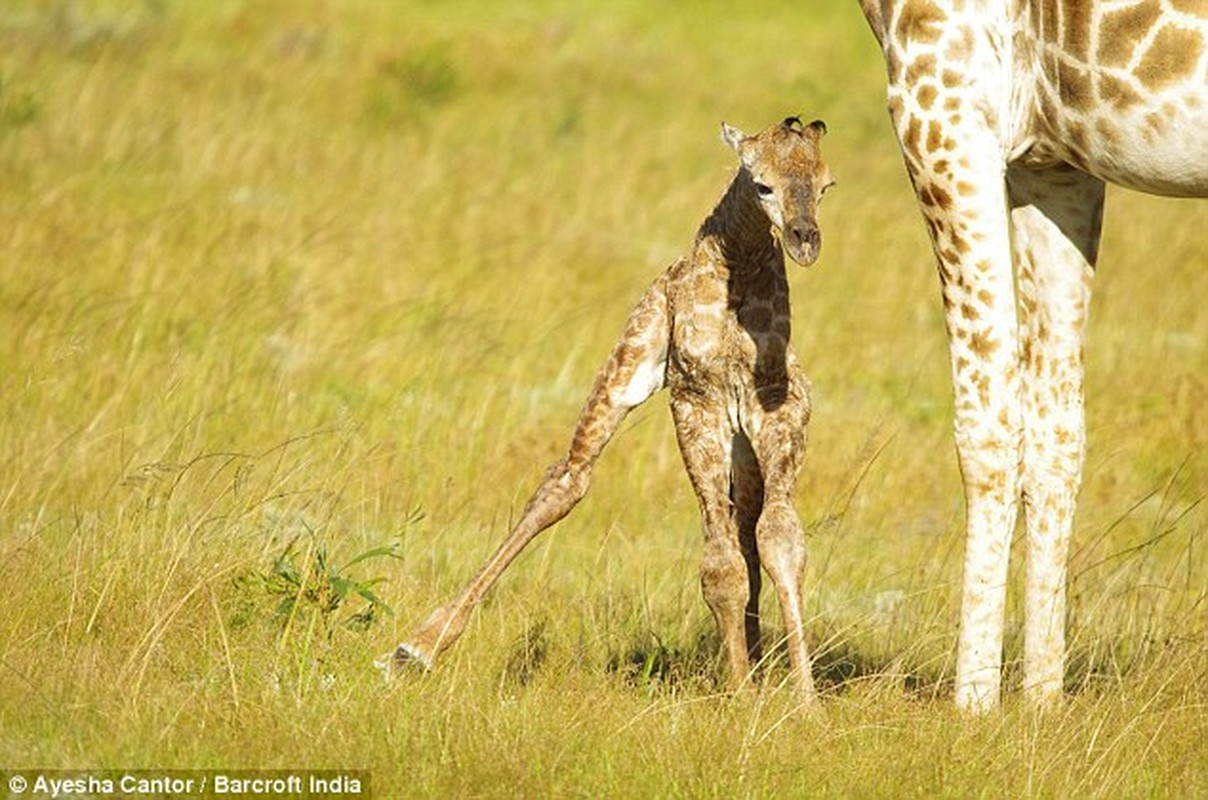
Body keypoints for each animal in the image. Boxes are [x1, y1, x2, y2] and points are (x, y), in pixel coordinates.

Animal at [391, 116, 835, 700]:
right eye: (761, 183)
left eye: (826, 186)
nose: (806, 241)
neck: (737, 269)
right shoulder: (694, 399)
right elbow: (721, 568)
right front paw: (742, 695)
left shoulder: (777, 406)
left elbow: (779, 538)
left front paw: (802, 703)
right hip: (631, 372)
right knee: (566, 480)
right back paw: (414, 648)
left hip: (740, 441)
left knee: (746, 527)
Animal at [855, 0, 1208, 715]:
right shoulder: (1056, 158)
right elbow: (1057, 432)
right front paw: (1043, 707)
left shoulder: (942, 99)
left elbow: (984, 422)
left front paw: (973, 708)